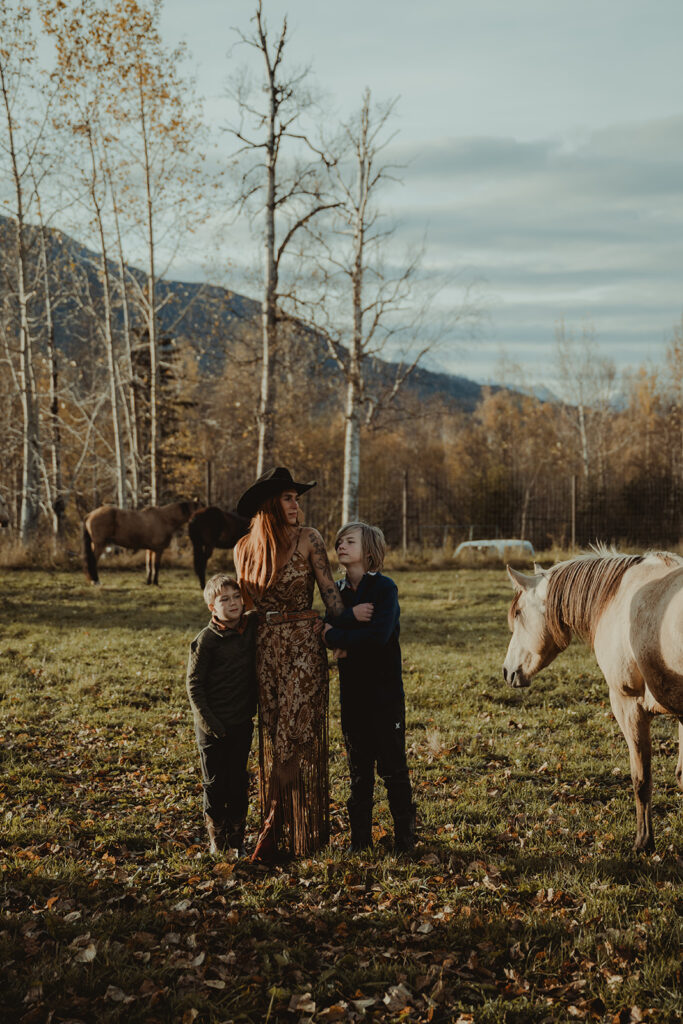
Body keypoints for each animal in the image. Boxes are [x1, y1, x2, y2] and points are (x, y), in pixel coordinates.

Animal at [501, 548, 683, 851]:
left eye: (518, 613)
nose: (507, 671)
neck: (618, 596)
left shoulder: (628, 705)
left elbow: (641, 779)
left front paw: (643, 842)